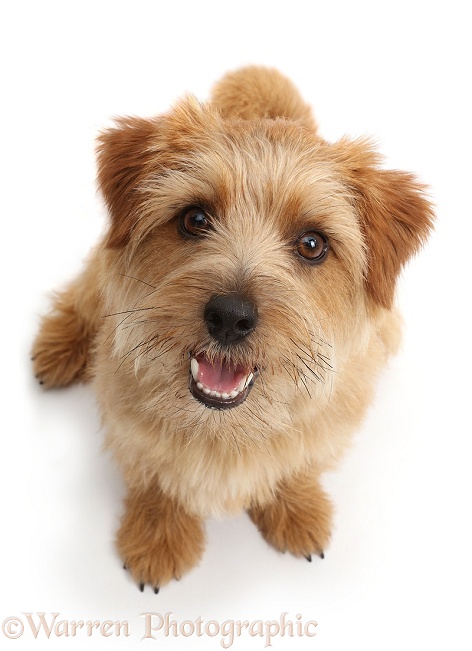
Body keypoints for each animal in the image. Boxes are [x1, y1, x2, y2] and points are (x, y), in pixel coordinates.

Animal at [31, 66, 434, 592]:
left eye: (312, 244)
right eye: (195, 218)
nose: (229, 316)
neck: (226, 427)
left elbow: (299, 465)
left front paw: (298, 508)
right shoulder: (129, 427)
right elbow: (157, 480)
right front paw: (159, 536)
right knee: (82, 296)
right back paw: (58, 347)